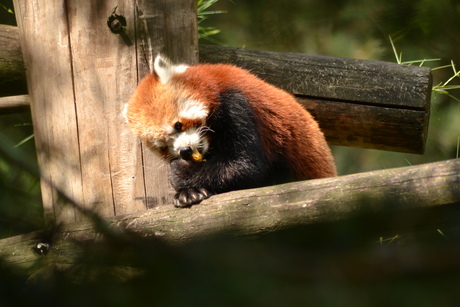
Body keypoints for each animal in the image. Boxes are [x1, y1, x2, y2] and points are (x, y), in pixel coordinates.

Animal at [124, 56, 336, 208]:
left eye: (178, 125)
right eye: (163, 146)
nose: (185, 151)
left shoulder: (236, 104)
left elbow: (245, 165)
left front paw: (181, 174)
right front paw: (188, 193)